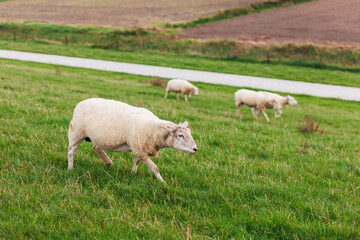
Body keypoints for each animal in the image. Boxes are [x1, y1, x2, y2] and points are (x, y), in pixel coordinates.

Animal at [67, 97, 197, 182]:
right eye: (180, 135)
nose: (195, 149)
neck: (153, 129)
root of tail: (80, 103)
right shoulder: (141, 150)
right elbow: (155, 168)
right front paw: (163, 183)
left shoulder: (139, 148)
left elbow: (136, 162)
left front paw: (132, 174)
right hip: (76, 133)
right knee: (71, 151)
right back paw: (70, 168)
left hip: (98, 137)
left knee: (96, 147)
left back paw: (108, 162)